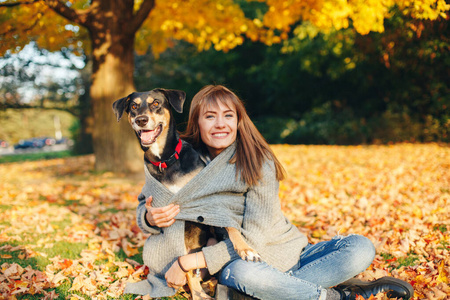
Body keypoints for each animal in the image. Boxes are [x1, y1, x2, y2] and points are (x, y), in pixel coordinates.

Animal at [112, 88, 260, 300]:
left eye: (156, 103)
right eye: (133, 106)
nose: (141, 119)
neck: (165, 160)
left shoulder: (208, 202)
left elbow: (229, 225)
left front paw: (246, 249)